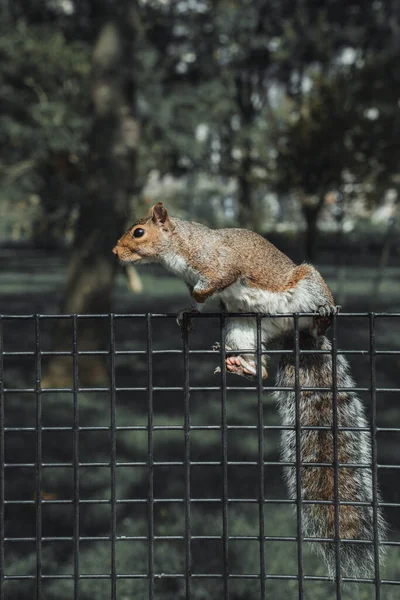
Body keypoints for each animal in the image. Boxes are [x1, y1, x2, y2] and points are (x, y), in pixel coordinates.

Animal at [113, 203, 388, 580]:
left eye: (138, 232)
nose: (116, 252)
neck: (179, 249)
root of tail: (295, 333)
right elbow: (195, 305)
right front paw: (187, 313)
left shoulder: (219, 262)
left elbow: (216, 281)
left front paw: (198, 298)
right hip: (241, 324)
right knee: (262, 366)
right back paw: (242, 365)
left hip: (306, 285)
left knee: (318, 314)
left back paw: (324, 315)